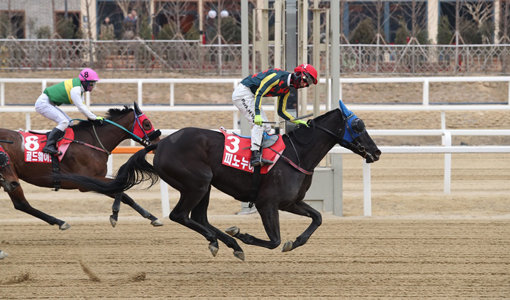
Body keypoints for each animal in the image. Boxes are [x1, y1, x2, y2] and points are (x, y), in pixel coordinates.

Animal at [0, 102, 162, 231]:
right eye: (147, 124)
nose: (158, 143)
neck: (91, 142)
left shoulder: (97, 179)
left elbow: (122, 192)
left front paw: (150, 216)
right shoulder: (86, 181)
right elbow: (121, 190)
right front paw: (115, 215)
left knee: (20, 204)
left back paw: (59, 222)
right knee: (22, 204)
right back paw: (61, 222)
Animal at [57, 99, 380, 258]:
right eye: (358, 126)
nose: (376, 152)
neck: (296, 154)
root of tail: (161, 143)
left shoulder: (291, 202)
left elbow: (317, 218)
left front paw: (295, 242)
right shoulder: (267, 202)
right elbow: (273, 240)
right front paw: (246, 235)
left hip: (206, 185)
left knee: (198, 217)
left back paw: (227, 242)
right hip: (197, 182)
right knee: (180, 216)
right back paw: (224, 240)